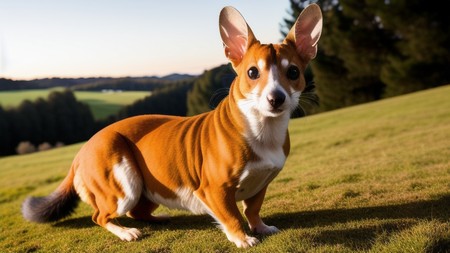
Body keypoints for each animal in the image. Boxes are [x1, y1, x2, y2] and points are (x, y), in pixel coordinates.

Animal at [22, 3, 322, 248]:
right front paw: (243, 238)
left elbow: (252, 210)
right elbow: (233, 215)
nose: (276, 98)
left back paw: (158, 218)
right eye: (252, 72)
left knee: (137, 211)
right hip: (123, 183)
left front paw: (260, 227)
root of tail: (81, 151)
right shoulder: (214, 190)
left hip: (147, 189)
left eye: (293, 72)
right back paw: (126, 233)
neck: (261, 126)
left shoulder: (261, 184)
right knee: (100, 215)